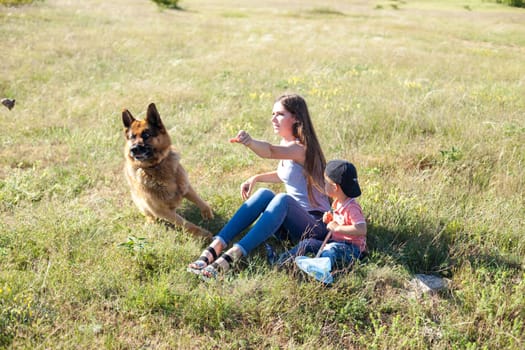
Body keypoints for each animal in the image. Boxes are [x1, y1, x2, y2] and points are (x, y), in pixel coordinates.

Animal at [122, 102, 212, 238]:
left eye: (146, 135)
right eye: (132, 137)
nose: (133, 149)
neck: (156, 167)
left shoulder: (185, 186)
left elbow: (199, 200)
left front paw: (207, 212)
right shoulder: (161, 210)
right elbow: (186, 224)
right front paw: (202, 234)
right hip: (139, 200)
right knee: (148, 214)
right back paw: (150, 221)